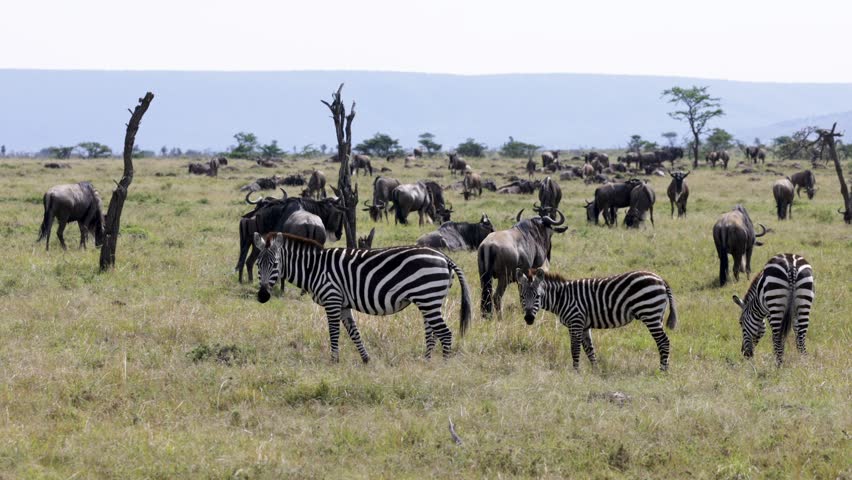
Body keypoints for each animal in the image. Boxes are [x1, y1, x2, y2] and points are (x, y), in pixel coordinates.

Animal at [253, 232, 472, 362]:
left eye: (275, 265)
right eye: (257, 265)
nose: (262, 296)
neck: (314, 269)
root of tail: (444, 257)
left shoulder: (332, 299)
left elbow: (334, 333)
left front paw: (334, 361)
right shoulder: (342, 304)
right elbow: (354, 332)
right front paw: (366, 359)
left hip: (428, 297)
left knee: (444, 333)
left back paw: (444, 365)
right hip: (430, 301)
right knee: (432, 333)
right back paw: (426, 361)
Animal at [516, 268, 678, 371]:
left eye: (538, 296)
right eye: (522, 297)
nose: (529, 319)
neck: (562, 298)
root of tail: (661, 280)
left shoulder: (576, 321)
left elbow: (574, 348)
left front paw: (576, 371)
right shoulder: (584, 325)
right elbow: (589, 349)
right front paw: (595, 370)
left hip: (650, 313)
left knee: (663, 341)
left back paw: (663, 370)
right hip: (657, 315)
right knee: (663, 342)